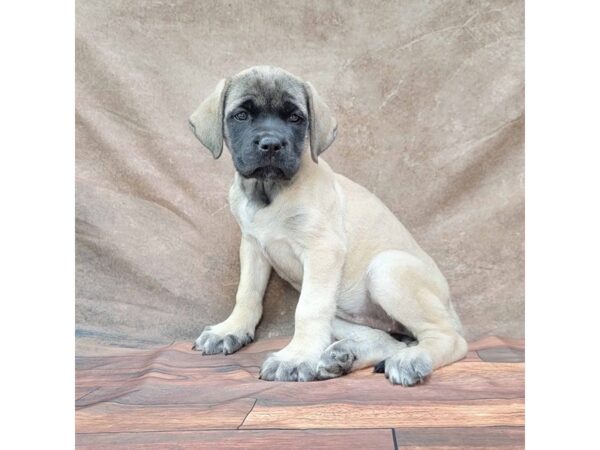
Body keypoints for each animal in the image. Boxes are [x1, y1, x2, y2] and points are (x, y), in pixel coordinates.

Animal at [190, 67, 466, 386]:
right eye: (241, 115)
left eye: (295, 118)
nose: (271, 144)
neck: (268, 194)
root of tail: (450, 306)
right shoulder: (252, 247)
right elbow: (247, 292)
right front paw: (231, 329)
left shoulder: (323, 250)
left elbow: (308, 309)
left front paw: (296, 357)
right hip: (346, 314)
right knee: (390, 340)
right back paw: (343, 356)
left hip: (386, 269)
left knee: (449, 338)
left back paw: (409, 359)